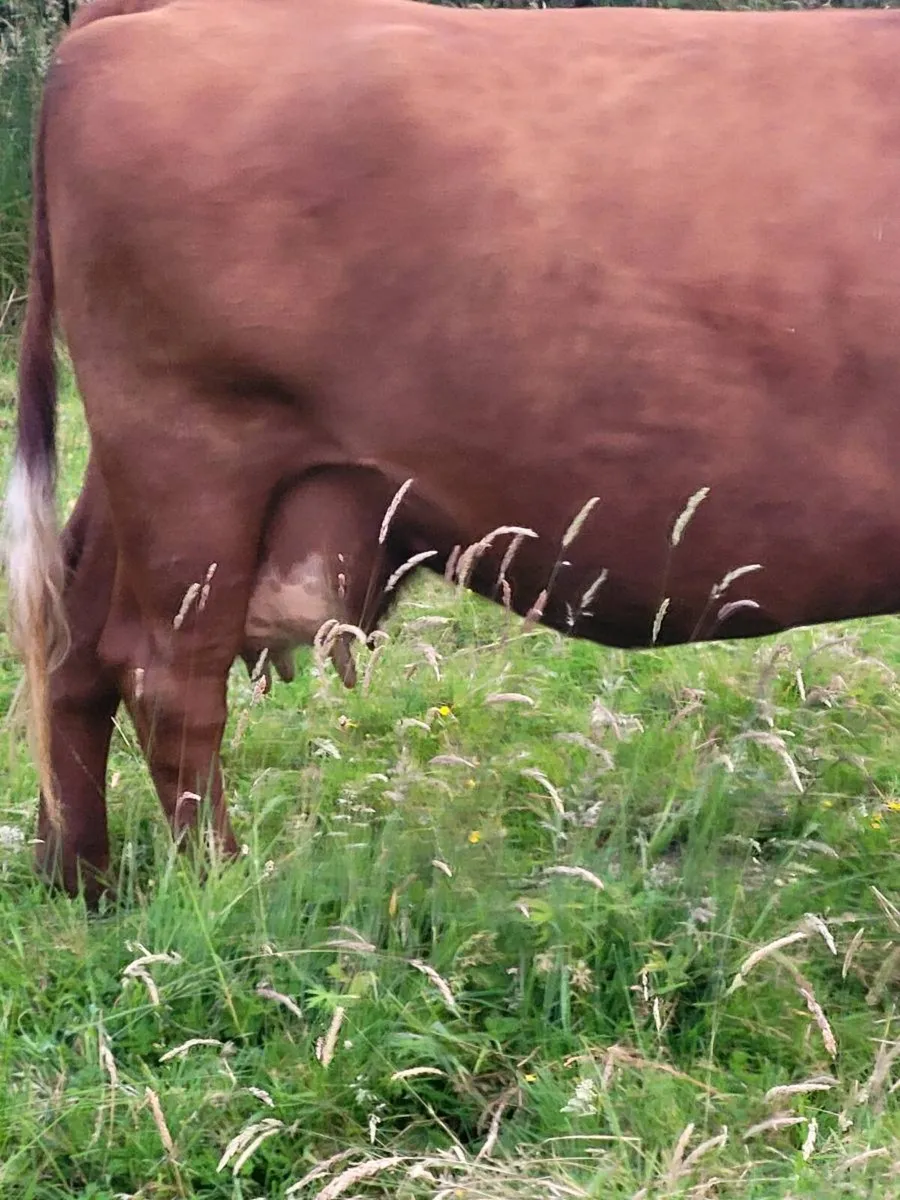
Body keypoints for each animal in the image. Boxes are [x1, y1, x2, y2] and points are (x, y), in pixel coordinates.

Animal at [5, 0, 900, 899]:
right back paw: (219, 888)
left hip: (141, 478)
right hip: (194, 457)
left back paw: (78, 879)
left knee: (73, 639)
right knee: (165, 677)